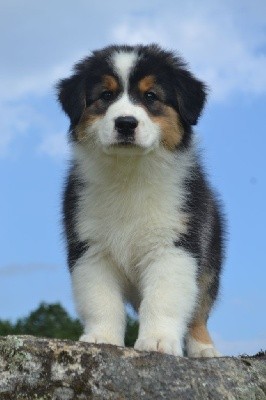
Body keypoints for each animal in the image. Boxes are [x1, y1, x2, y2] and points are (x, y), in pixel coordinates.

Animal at [56, 43, 224, 356]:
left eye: (150, 96)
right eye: (106, 95)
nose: (125, 123)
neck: (129, 172)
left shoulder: (175, 244)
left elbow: (164, 298)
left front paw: (158, 341)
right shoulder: (90, 247)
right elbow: (101, 299)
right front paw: (101, 337)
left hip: (210, 260)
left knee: (199, 310)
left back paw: (204, 349)